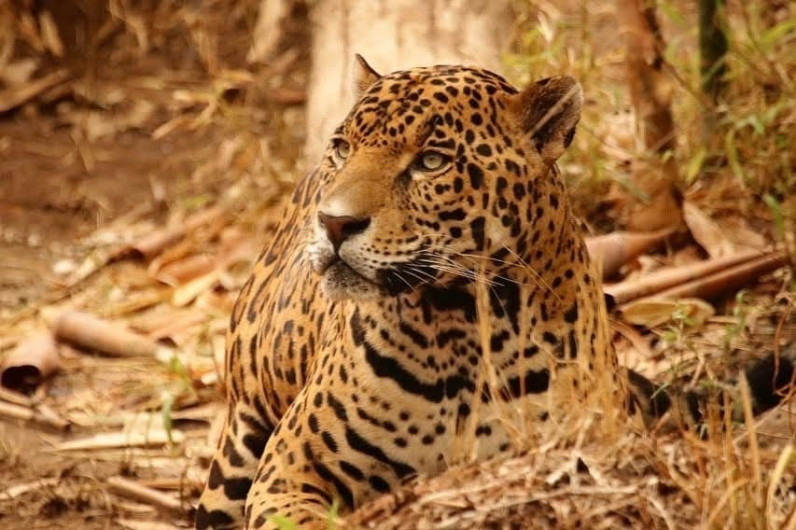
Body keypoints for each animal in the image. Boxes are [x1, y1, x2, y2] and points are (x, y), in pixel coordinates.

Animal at [195, 56, 793, 529]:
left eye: (431, 161)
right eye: (342, 149)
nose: (333, 223)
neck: (455, 322)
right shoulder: (289, 468)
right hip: (239, 443)